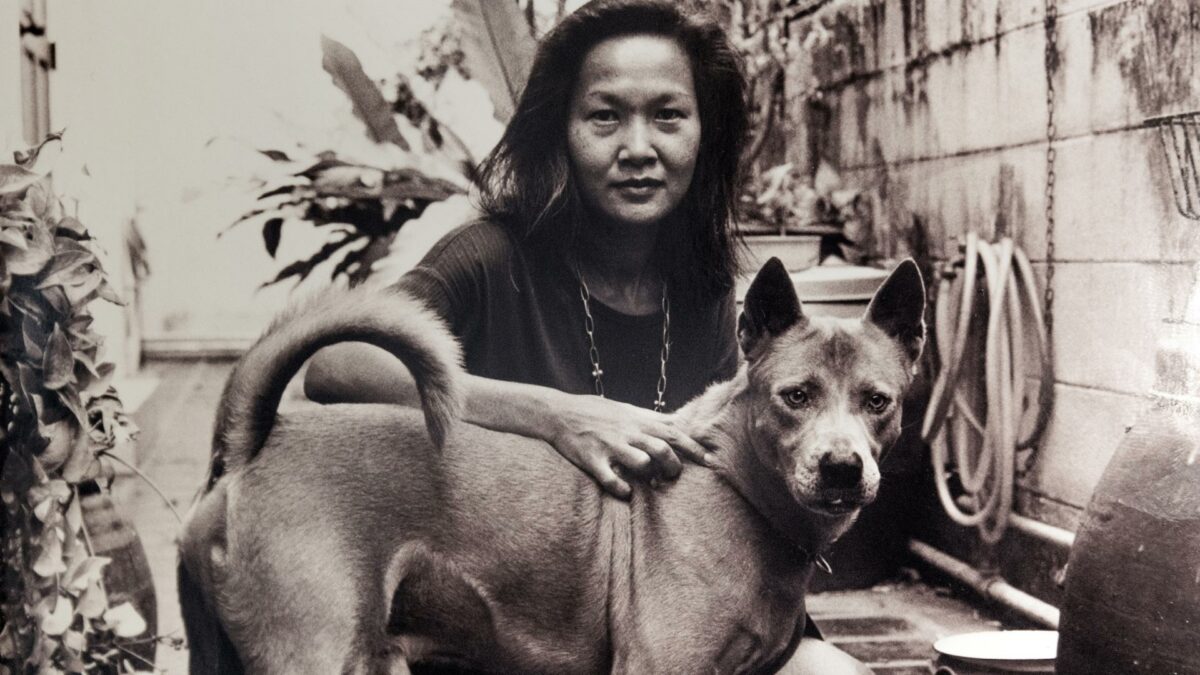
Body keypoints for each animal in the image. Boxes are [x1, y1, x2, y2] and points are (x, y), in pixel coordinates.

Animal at [177, 254, 926, 667]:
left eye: (878, 401)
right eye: (795, 396)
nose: (842, 467)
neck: (736, 484)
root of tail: (253, 442)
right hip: (326, 652)